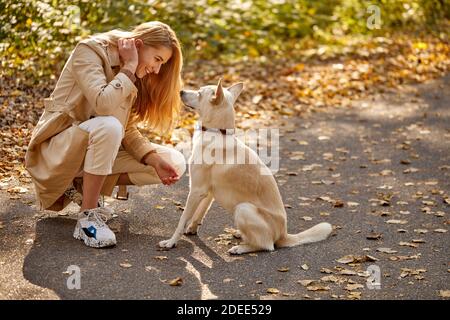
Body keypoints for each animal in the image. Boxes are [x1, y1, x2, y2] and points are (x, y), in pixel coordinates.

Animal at [160, 79, 332, 255]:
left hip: (243, 208)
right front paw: (192, 229)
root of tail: (284, 235)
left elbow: (182, 219)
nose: (181, 91)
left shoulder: (196, 190)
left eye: (199, 93)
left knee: (267, 245)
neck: (218, 132)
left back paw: (241, 248)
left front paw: (171, 242)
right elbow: (199, 213)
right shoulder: (207, 192)